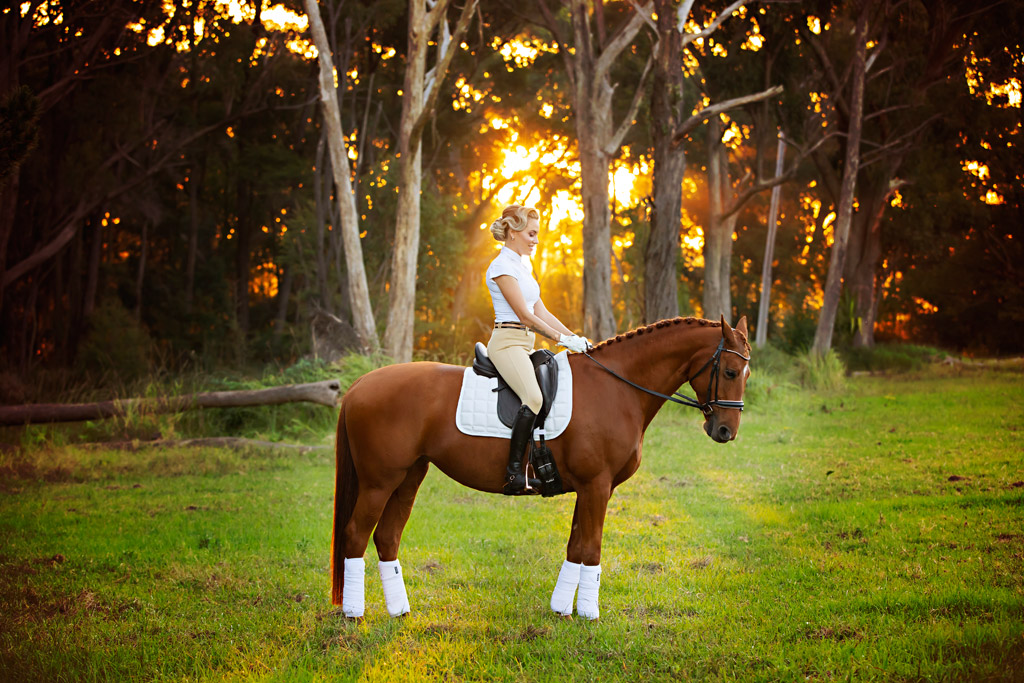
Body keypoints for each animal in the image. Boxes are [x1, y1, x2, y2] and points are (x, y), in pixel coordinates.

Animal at [331, 315, 749, 618]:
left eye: (745, 374)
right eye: (729, 372)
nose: (725, 431)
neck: (617, 388)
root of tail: (359, 385)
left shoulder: (590, 487)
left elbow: (576, 545)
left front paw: (562, 608)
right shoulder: (596, 485)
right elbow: (592, 548)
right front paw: (589, 615)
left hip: (409, 477)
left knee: (387, 537)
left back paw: (399, 611)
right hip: (379, 482)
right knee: (355, 534)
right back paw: (355, 613)